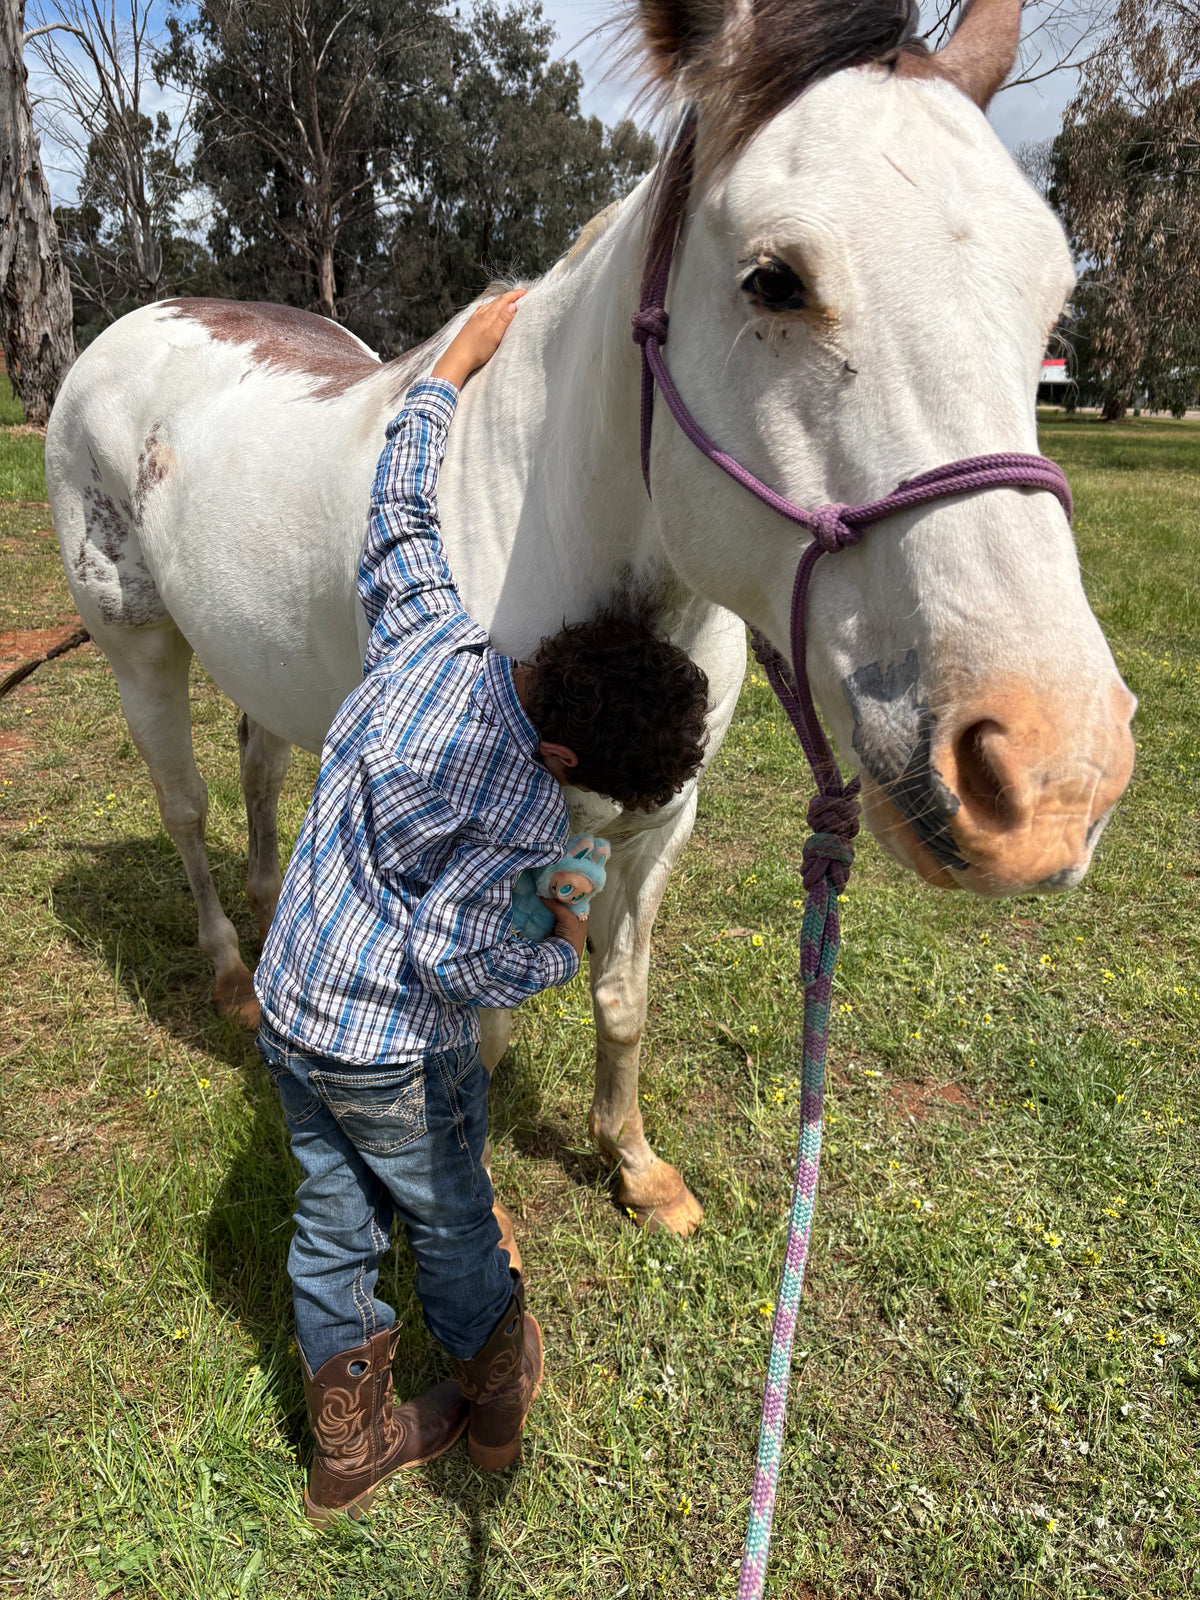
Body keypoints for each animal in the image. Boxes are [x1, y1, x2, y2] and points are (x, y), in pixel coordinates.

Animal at [44, 0, 1135, 1237]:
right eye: (774, 280)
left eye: (1050, 294)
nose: (1052, 779)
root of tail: (140, 322)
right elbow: (471, 1038)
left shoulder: (659, 823)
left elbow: (621, 997)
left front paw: (636, 1167)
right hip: (140, 650)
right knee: (184, 808)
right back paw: (233, 969)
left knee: (260, 767)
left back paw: (275, 911)